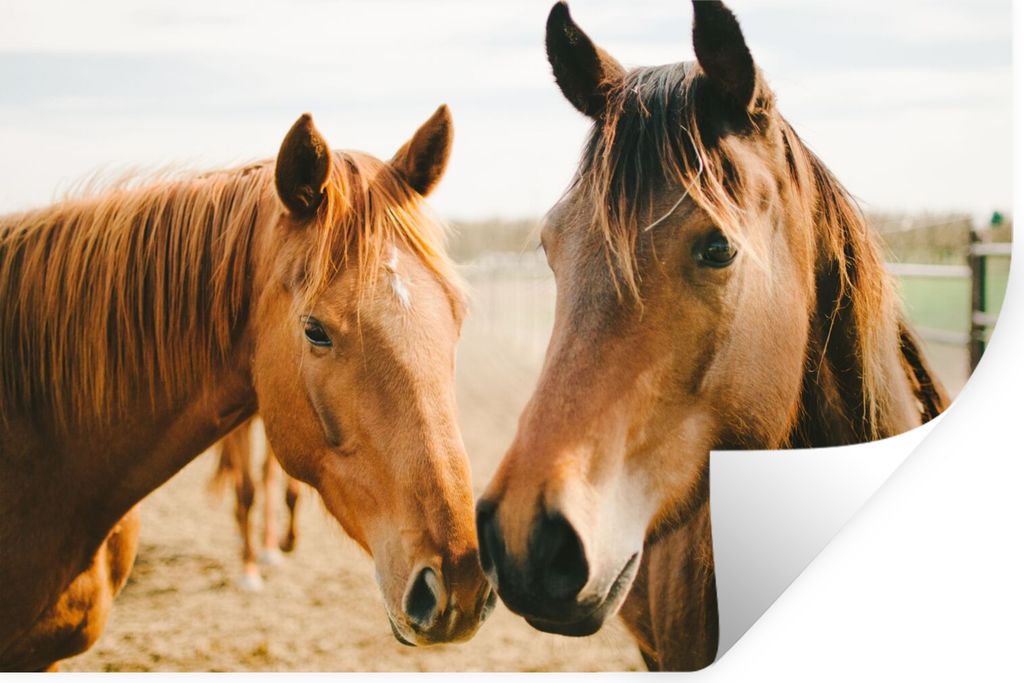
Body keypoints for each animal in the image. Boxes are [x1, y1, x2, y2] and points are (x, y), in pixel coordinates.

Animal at [209, 416, 303, 592]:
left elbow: (292, 492)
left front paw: (288, 542)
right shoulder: (240, 428)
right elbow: (246, 493)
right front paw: (249, 571)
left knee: (267, 475)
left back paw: (269, 546)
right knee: (237, 475)